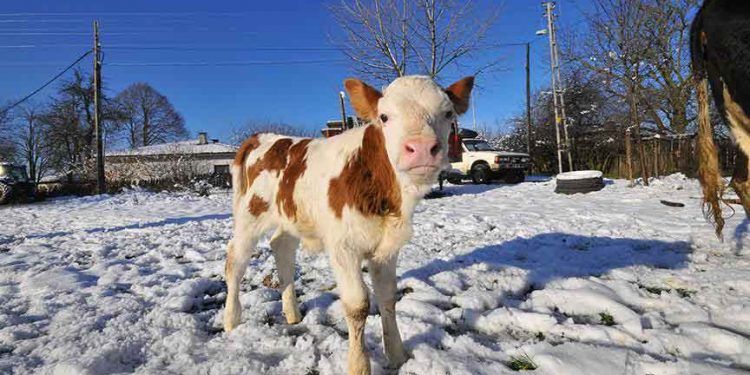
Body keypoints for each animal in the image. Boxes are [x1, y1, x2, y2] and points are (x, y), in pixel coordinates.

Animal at [220, 75, 476, 374]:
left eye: (448, 113)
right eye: (384, 116)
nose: (422, 148)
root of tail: (263, 137)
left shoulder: (387, 248)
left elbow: (388, 297)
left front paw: (397, 355)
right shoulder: (343, 248)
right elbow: (358, 305)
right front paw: (359, 365)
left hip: (290, 215)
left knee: (281, 247)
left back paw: (292, 313)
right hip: (249, 215)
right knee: (235, 261)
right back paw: (231, 320)